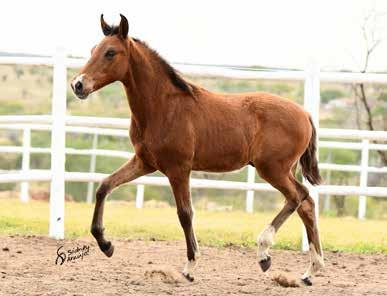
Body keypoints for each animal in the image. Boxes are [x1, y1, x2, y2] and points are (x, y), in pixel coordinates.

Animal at [72, 15, 324, 286]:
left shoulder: (178, 169)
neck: (163, 107)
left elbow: (185, 213)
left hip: (272, 169)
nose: (78, 84)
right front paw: (105, 244)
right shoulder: (144, 162)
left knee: (298, 196)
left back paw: (264, 252)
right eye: (93, 50)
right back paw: (310, 271)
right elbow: (104, 186)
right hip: (281, 170)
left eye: (110, 52)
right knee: (307, 204)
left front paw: (190, 267)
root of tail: (305, 113)